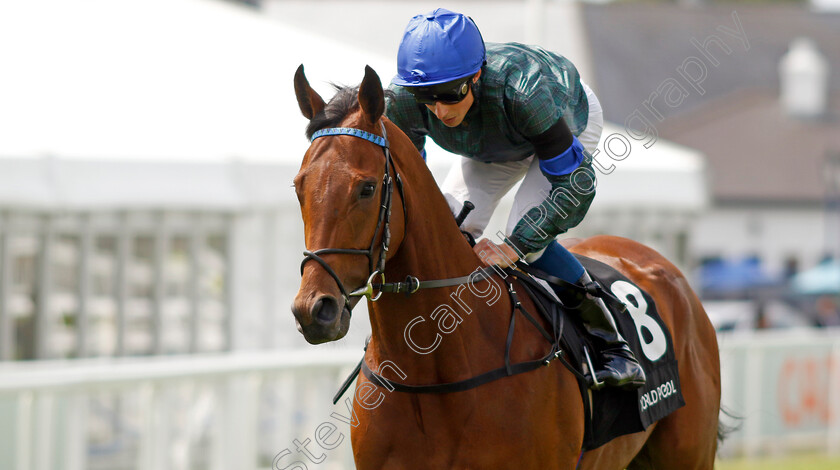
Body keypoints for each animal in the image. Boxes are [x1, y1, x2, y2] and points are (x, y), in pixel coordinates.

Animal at [290, 63, 720, 470]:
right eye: (298, 186)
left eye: (366, 188)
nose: (314, 310)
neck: (433, 368)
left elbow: (572, 180)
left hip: (688, 454)